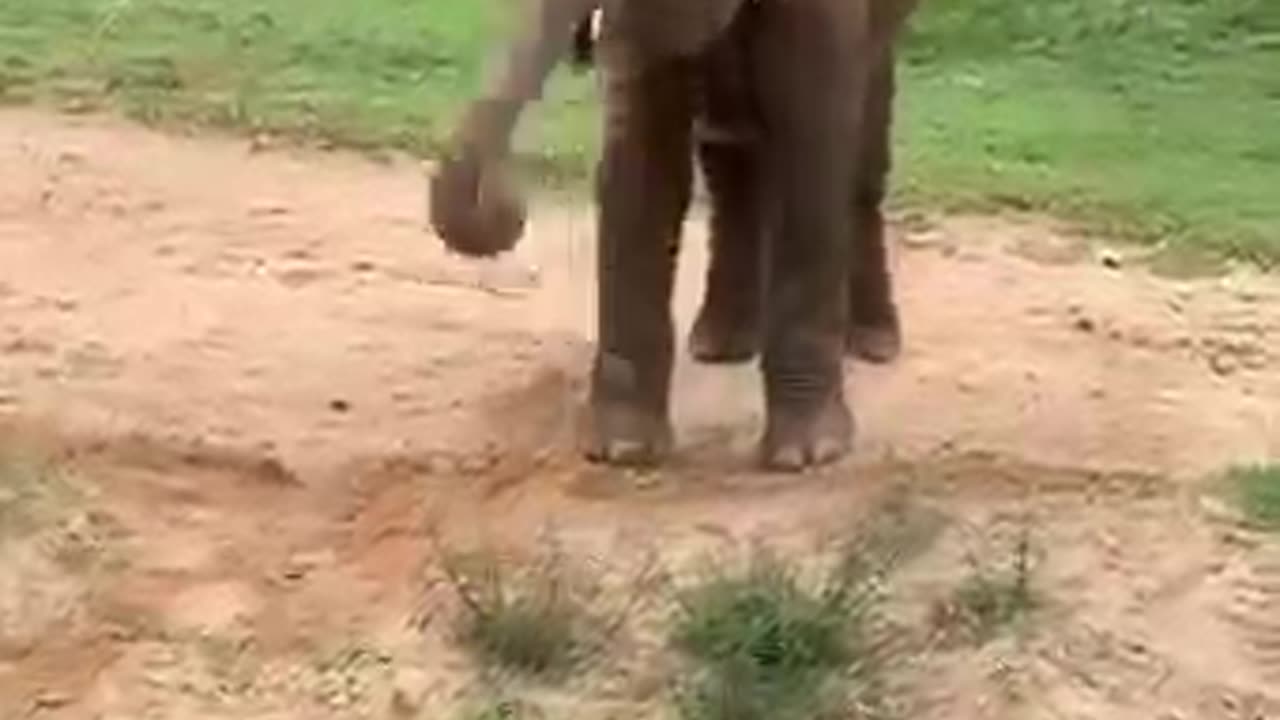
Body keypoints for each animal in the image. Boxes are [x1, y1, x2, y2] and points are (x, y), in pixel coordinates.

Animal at [430, 0, 921, 471]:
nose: (507, 204)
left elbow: (812, 152)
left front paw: (809, 456)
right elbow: (641, 163)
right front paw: (622, 451)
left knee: (863, 150)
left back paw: (873, 345)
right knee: (729, 153)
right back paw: (720, 347)